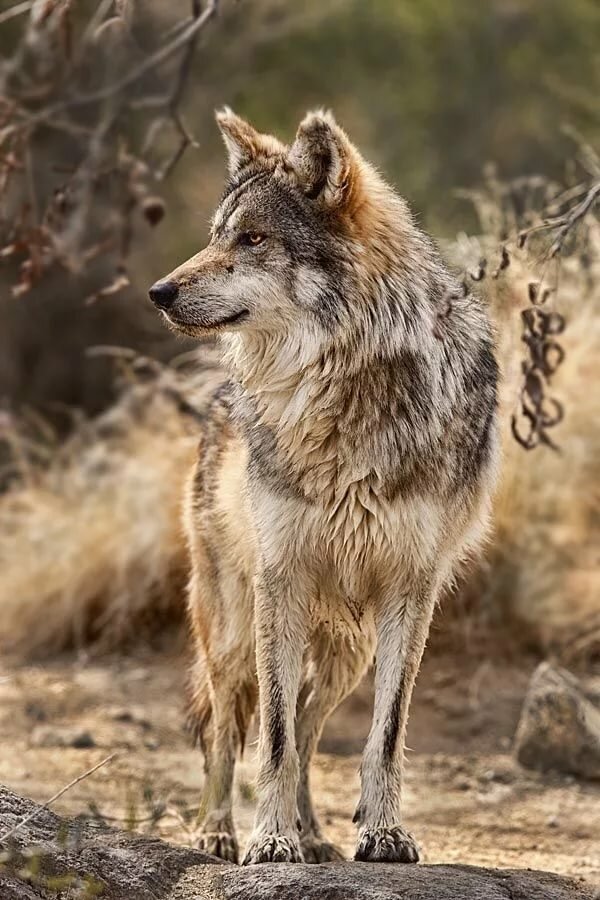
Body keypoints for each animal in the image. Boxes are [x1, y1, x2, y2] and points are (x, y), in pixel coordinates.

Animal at [148, 108, 499, 866]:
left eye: (253, 239)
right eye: (216, 235)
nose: (158, 292)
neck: (344, 382)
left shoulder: (412, 589)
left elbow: (381, 736)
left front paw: (382, 833)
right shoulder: (280, 578)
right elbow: (272, 738)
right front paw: (268, 841)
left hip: (349, 648)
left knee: (310, 722)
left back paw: (313, 834)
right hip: (232, 628)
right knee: (230, 728)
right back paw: (219, 831)